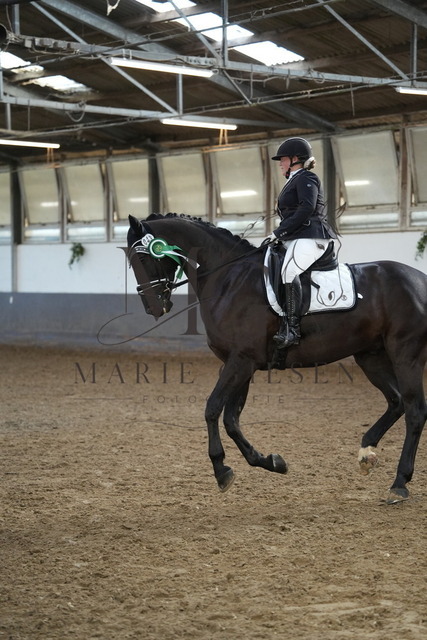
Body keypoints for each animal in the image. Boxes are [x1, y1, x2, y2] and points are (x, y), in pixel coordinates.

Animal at [127, 213, 427, 504]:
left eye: (142, 258)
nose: (153, 307)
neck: (228, 278)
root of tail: (420, 279)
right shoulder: (240, 363)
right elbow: (231, 419)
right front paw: (271, 462)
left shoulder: (241, 360)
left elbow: (212, 409)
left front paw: (221, 470)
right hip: (370, 356)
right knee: (396, 401)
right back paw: (366, 453)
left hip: (406, 354)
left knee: (415, 411)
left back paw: (399, 484)